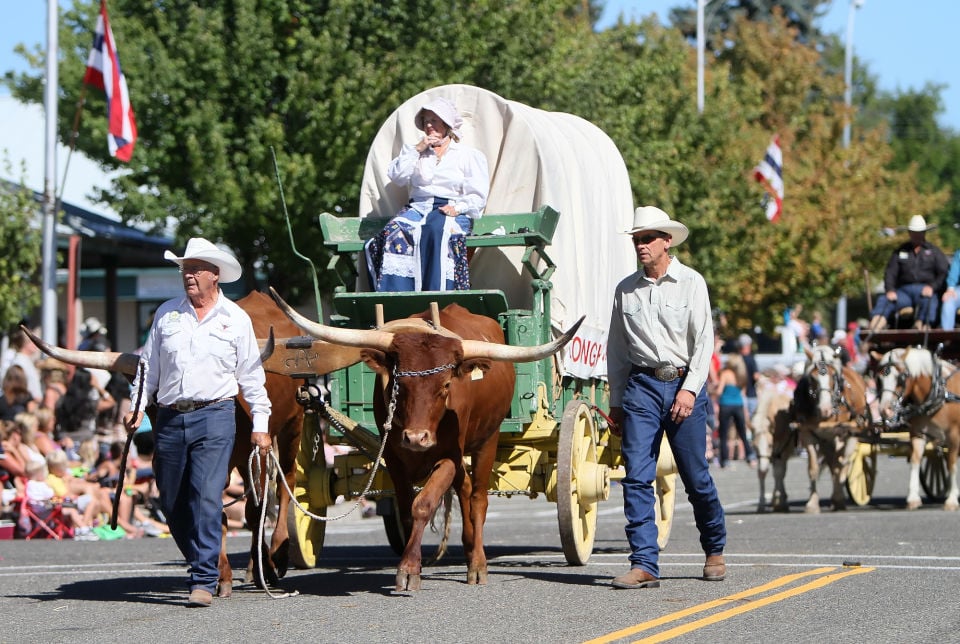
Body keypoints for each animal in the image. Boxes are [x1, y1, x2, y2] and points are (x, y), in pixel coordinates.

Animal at [784, 344, 872, 516]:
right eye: (812, 378)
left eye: (833, 376)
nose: (825, 410)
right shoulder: (807, 434)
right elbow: (813, 468)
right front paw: (812, 504)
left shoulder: (839, 433)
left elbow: (839, 466)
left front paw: (838, 499)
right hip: (827, 441)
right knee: (833, 464)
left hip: (851, 433)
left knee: (843, 464)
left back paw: (839, 497)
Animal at [872, 348, 960, 508]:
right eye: (878, 379)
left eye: (900, 378)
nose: (884, 411)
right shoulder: (918, 433)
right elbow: (915, 460)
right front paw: (913, 498)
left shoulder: (954, 436)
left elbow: (952, 464)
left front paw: (952, 499)